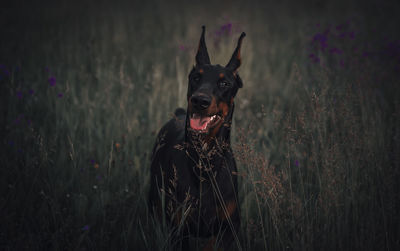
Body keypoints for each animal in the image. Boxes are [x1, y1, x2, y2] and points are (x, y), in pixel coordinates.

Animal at [149, 26, 245, 251]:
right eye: (195, 78)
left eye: (224, 82)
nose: (199, 100)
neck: (204, 164)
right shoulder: (178, 230)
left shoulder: (228, 229)